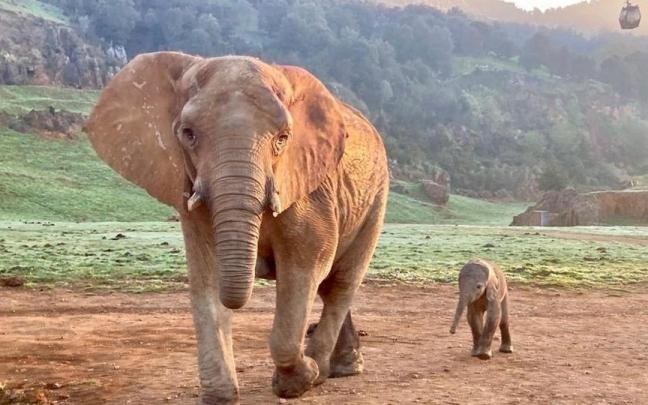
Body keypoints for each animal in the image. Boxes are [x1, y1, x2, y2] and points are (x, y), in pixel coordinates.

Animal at [83, 52, 389, 403]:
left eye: (283, 139)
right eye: (188, 134)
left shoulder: (310, 191)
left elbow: (305, 267)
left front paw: (300, 381)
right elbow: (207, 276)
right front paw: (221, 397)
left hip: (376, 198)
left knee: (340, 283)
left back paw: (327, 370)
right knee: (330, 287)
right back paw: (337, 367)